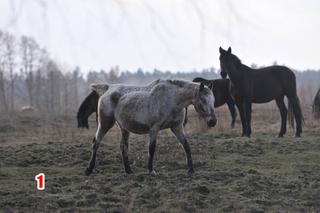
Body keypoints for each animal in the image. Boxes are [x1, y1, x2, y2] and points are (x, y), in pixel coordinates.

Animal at [85, 79, 218, 176]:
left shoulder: (177, 127)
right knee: (96, 142)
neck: (172, 99)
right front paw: (151, 170)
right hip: (105, 124)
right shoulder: (154, 129)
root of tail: (108, 88)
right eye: (203, 100)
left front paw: (191, 170)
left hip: (124, 128)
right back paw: (89, 169)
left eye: (213, 100)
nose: (213, 121)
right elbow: (152, 148)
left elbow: (186, 146)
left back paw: (128, 171)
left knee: (123, 147)